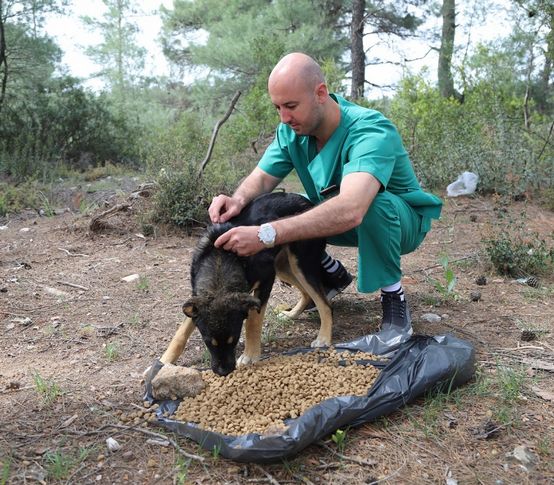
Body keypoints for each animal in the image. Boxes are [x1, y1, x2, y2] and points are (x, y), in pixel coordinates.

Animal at [157, 191, 334, 376]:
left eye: (234, 339)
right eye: (208, 342)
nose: (224, 372)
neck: (222, 259)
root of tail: (307, 202)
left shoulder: (266, 280)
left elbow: (253, 321)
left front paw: (250, 355)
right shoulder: (197, 299)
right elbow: (181, 333)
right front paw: (164, 361)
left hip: (301, 264)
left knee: (324, 303)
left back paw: (323, 338)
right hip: (283, 266)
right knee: (307, 294)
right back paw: (291, 314)